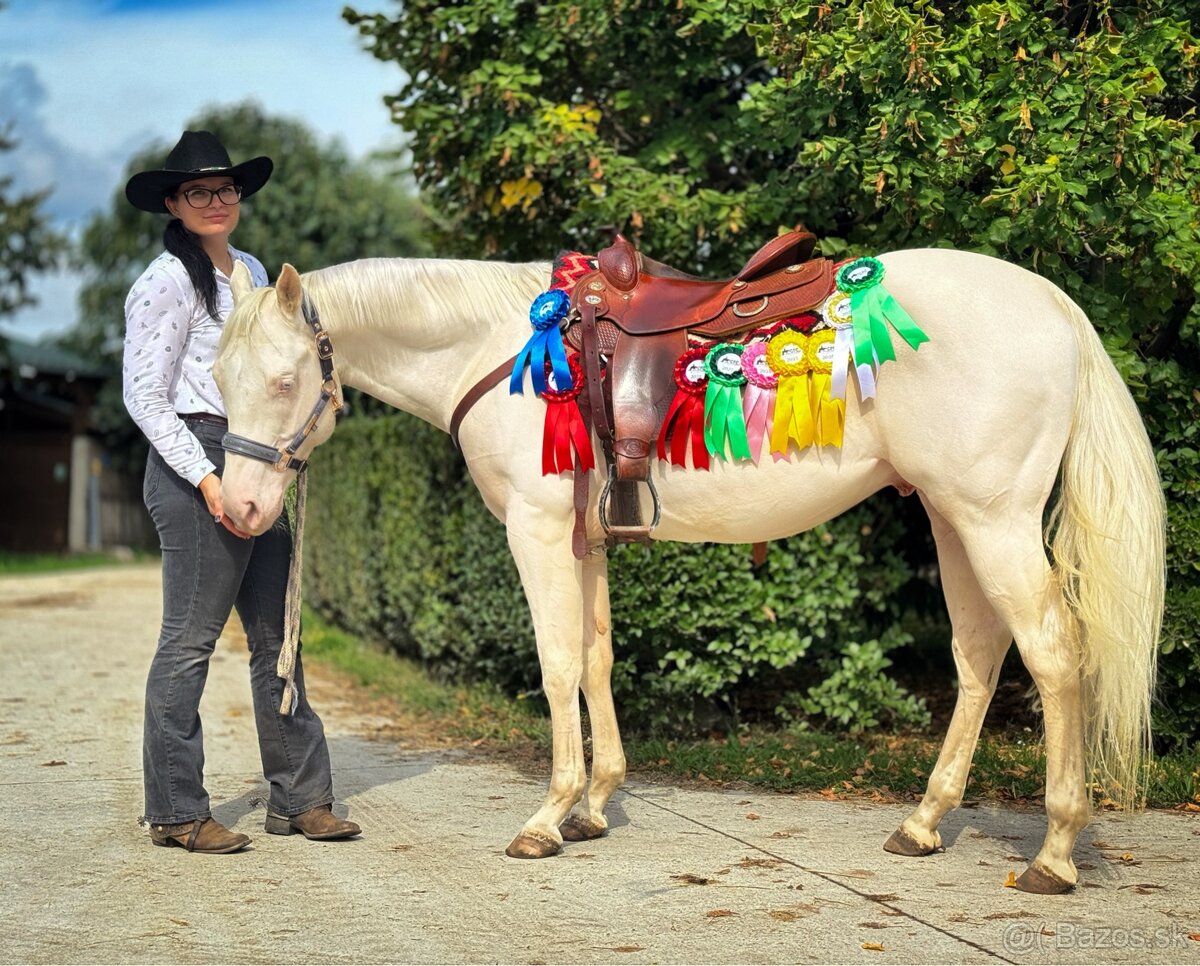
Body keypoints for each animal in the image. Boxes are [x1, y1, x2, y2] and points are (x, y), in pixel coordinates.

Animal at [213, 247, 1164, 895]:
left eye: (286, 379)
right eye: (219, 379)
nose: (242, 509)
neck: (501, 347)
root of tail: (1052, 303)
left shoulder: (536, 529)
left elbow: (556, 666)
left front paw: (548, 817)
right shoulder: (584, 540)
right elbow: (595, 661)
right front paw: (595, 805)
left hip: (992, 519)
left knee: (1052, 654)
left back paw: (1054, 853)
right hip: (953, 518)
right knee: (978, 658)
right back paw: (924, 823)